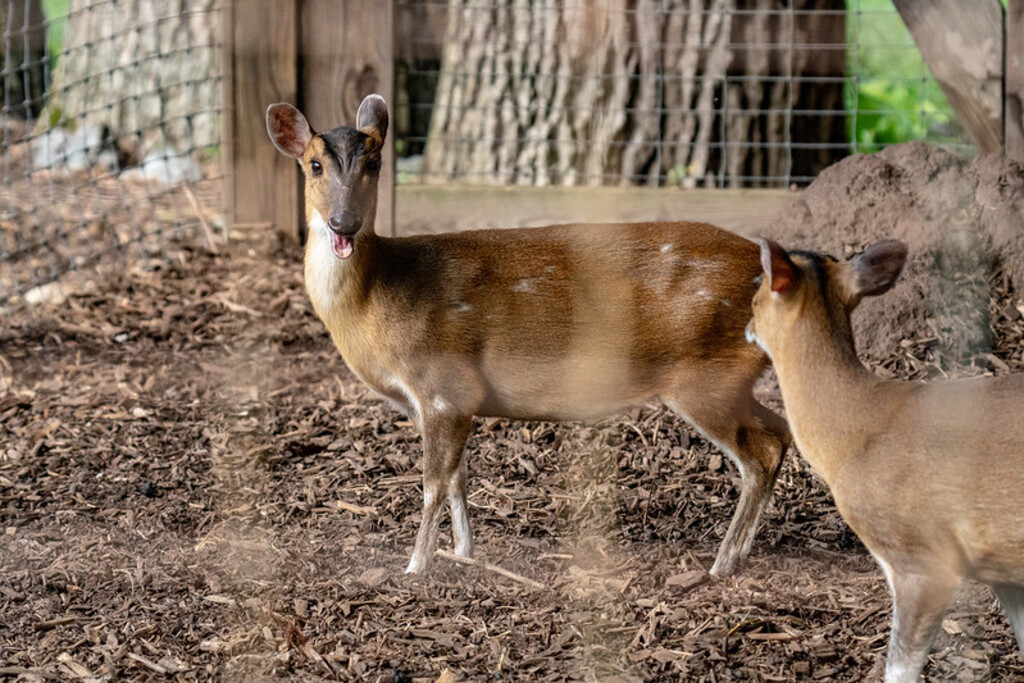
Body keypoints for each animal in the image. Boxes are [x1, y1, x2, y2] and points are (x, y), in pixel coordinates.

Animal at [265, 93, 791, 577]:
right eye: (314, 165)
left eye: (373, 162)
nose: (344, 222)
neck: (377, 297)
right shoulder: (434, 402)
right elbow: (457, 478)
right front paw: (464, 552)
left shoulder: (444, 384)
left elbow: (434, 482)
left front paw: (415, 567)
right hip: (728, 377)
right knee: (781, 432)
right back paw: (738, 552)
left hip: (704, 372)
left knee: (762, 452)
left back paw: (721, 562)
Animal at [746, 238, 1024, 682]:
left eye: (756, 288)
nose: (747, 326)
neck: (854, 434)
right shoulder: (1004, 570)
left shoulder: (923, 557)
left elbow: (898, 669)